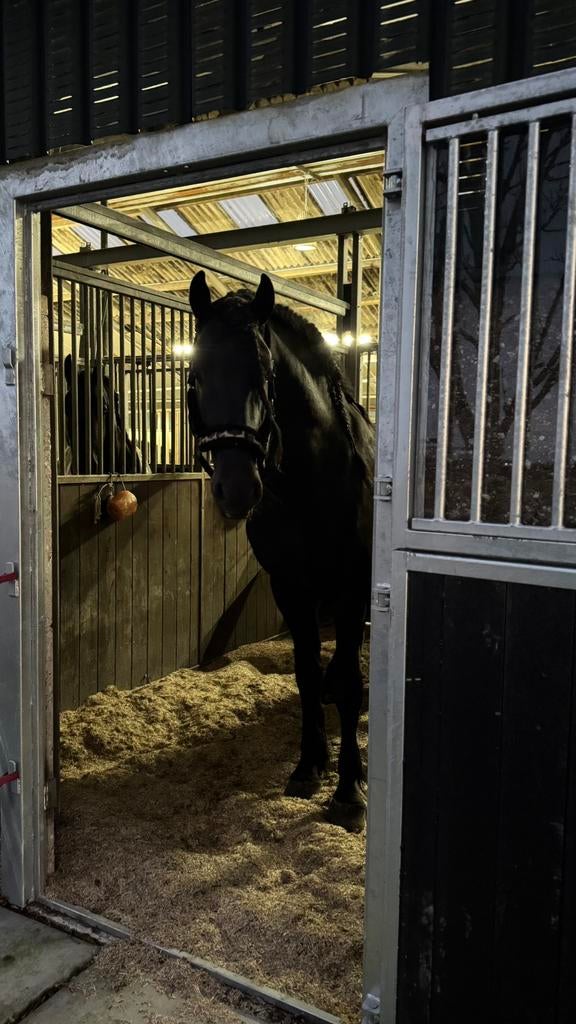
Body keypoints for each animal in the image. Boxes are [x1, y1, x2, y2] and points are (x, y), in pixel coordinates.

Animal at [187, 271, 375, 831]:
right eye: (195, 373)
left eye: (264, 372)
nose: (236, 489)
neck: (310, 483)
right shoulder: (290, 586)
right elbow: (307, 672)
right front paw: (310, 766)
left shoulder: (351, 588)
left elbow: (350, 679)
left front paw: (349, 793)